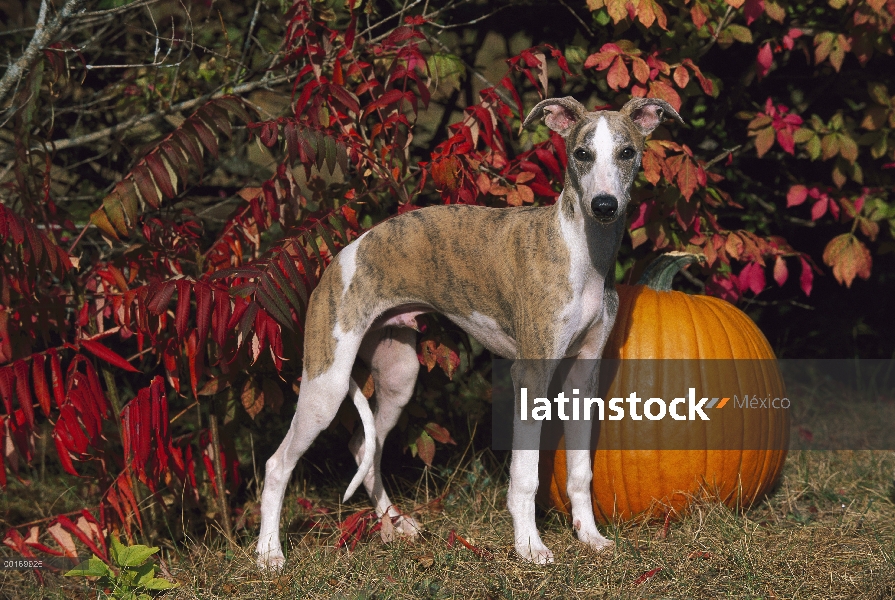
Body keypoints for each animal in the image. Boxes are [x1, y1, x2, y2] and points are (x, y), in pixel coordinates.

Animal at [260, 95, 688, 568]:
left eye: (627, 153)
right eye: (581, 153)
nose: (605, 206)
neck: (581, 251)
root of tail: (341, 256)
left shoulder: (584, 375)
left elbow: (580, 472)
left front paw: (590, 537)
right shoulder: (531, 376)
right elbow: (524, 477)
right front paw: (529, 547)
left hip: (399, 376)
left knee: (361, 445)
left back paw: (394, 524)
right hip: (327, 384)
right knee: (278, 464)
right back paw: (269, 554)